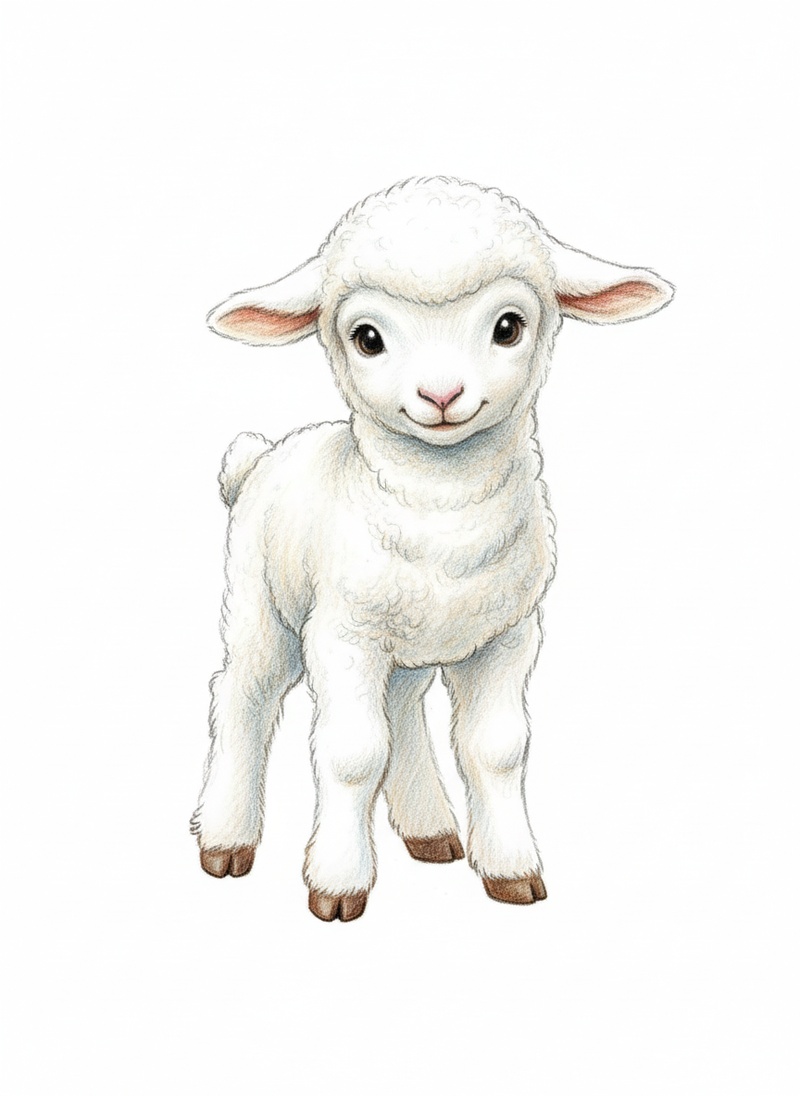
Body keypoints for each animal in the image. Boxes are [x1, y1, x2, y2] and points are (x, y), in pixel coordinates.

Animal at [191, 176, 673, 921]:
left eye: (509, 326)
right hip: (260, 604)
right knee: (243, 696)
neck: (446, 519)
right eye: (366, 337)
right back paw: (225, 837)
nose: (441, 394)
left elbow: (497, 749)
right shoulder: (344, 633)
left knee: (401, 710)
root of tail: (260, 457)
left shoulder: (508, 633)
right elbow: (353, 755)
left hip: (409, 647)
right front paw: (337, 884)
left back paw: (429, 830)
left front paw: (510, 870)